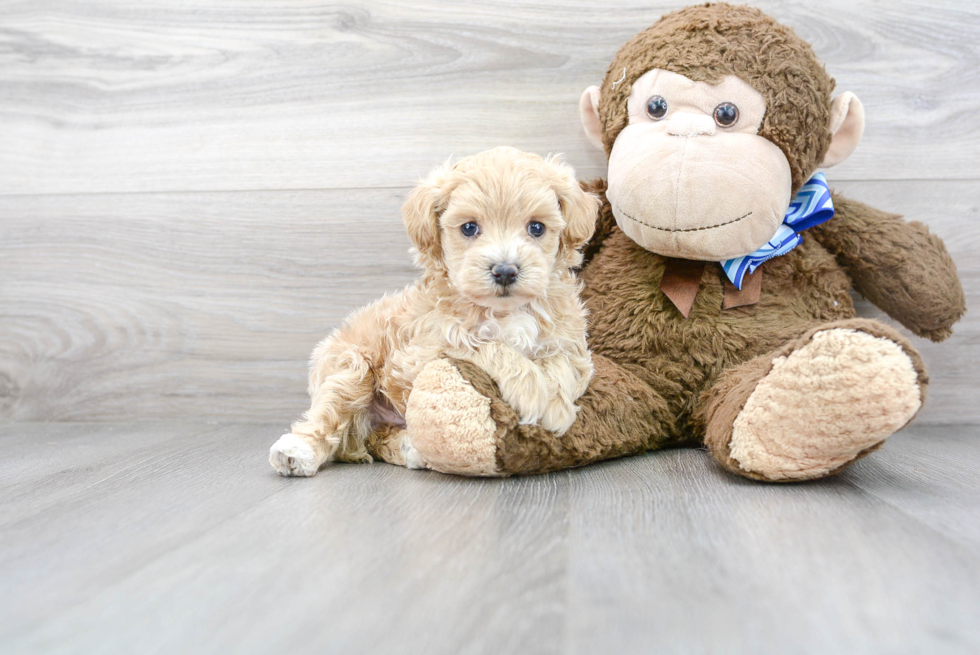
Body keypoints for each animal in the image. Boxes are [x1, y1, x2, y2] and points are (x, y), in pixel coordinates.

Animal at [272, 147, 600, 476]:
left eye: (536, 228)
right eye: (469, 227)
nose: (505, 271)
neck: (504, 311)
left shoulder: (570, 341)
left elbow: (562, 362)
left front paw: (556, 405)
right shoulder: (427, 348)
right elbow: (485, 344)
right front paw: (531, 390)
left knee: (375, 439)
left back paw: (411, 449)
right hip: (351, 365)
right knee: (333, 413)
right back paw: (297, 452)